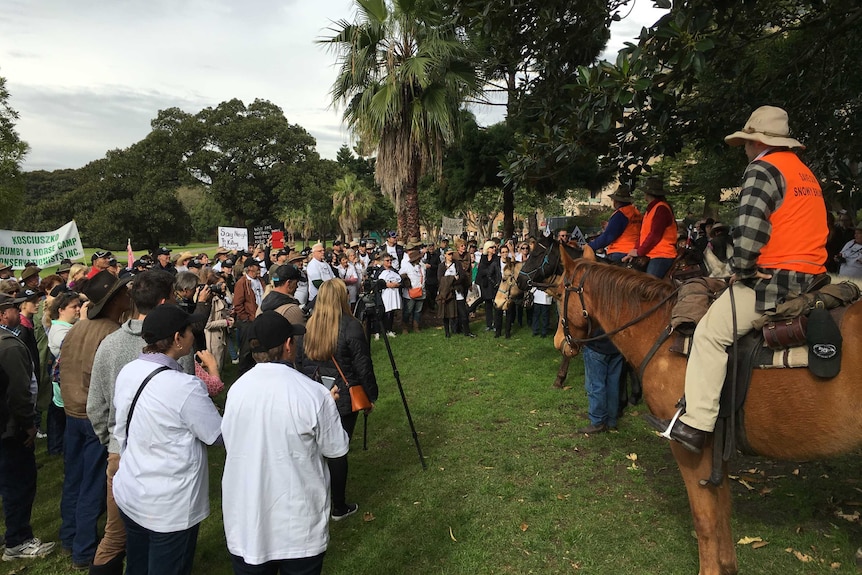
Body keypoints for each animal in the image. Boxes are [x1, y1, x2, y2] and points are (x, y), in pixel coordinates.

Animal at [552, 246, 862, 575]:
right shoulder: (715, 443)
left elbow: (704, 516)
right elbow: (721, 508)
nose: (559, 342)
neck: (662, 330)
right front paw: (727, 564)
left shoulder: (688, 444)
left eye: (559, 293)